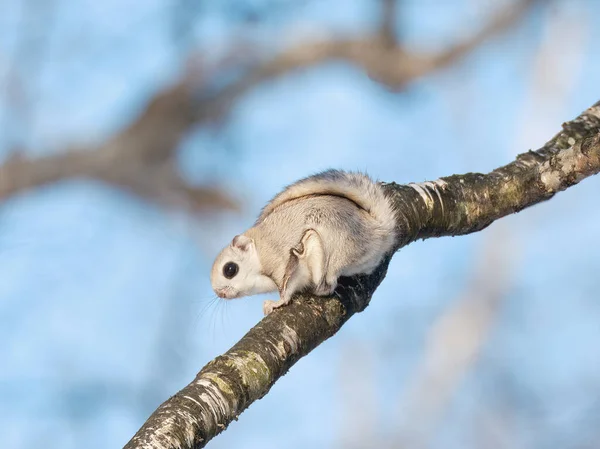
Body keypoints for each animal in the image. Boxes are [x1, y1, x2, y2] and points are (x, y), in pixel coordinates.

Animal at [211, 169, 398, 316]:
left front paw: (276, 303)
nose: (221, 294)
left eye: (230, 269)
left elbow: (287, 288)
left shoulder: (278, 261)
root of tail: (378, 230)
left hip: (332, 247)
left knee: (328, 283)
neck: (257, 252)